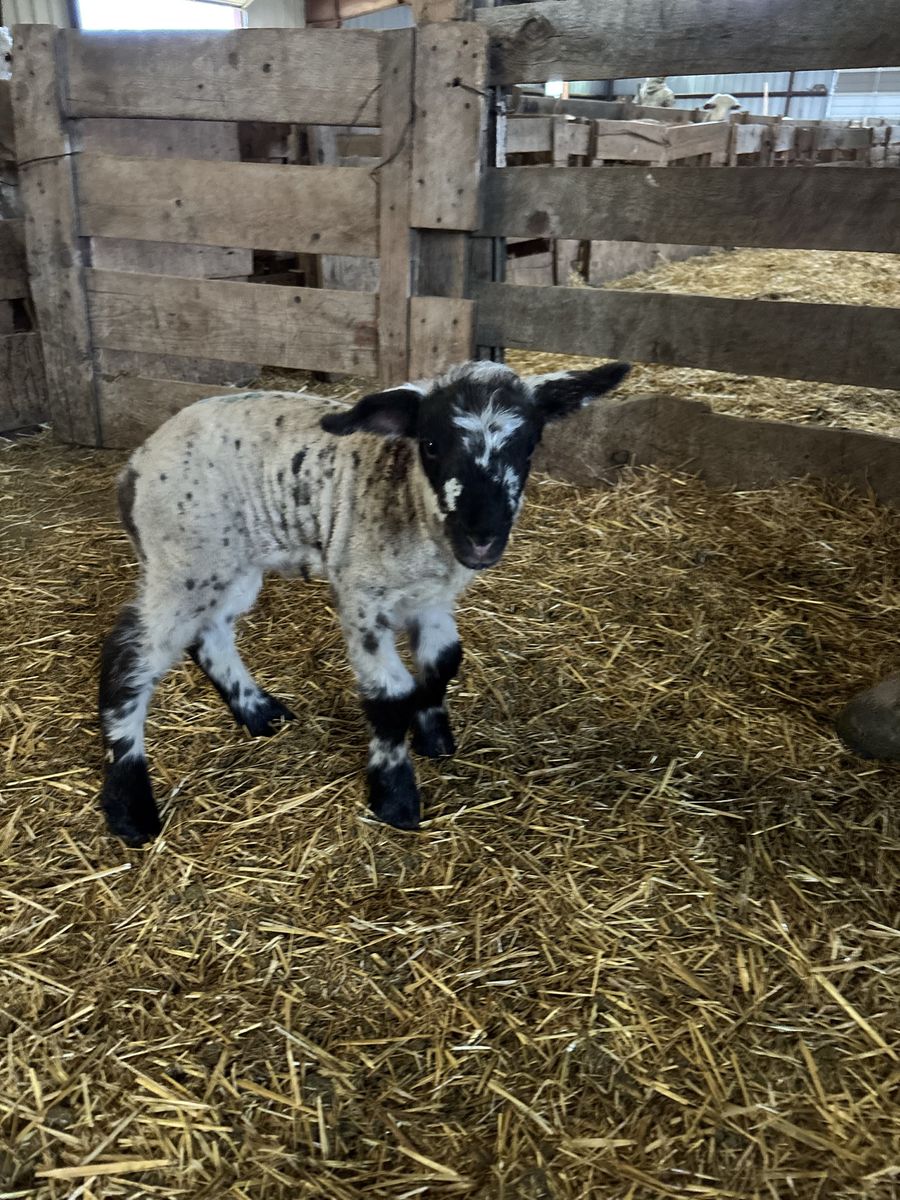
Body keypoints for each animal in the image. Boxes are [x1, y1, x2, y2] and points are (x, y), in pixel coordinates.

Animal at [98, 359, 631, 844]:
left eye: (530, 444)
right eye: (431, 444)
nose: (482, 538)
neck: (410, 500)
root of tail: (135, 465)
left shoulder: (433, 600)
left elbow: (443, 663)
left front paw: (436, 738)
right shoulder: (362, 599)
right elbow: (390, 695)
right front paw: (395, 798)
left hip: (228, 566)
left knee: (210, 635)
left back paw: (259, 712)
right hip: (185, 561)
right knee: (129, 657)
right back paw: (131, 811)